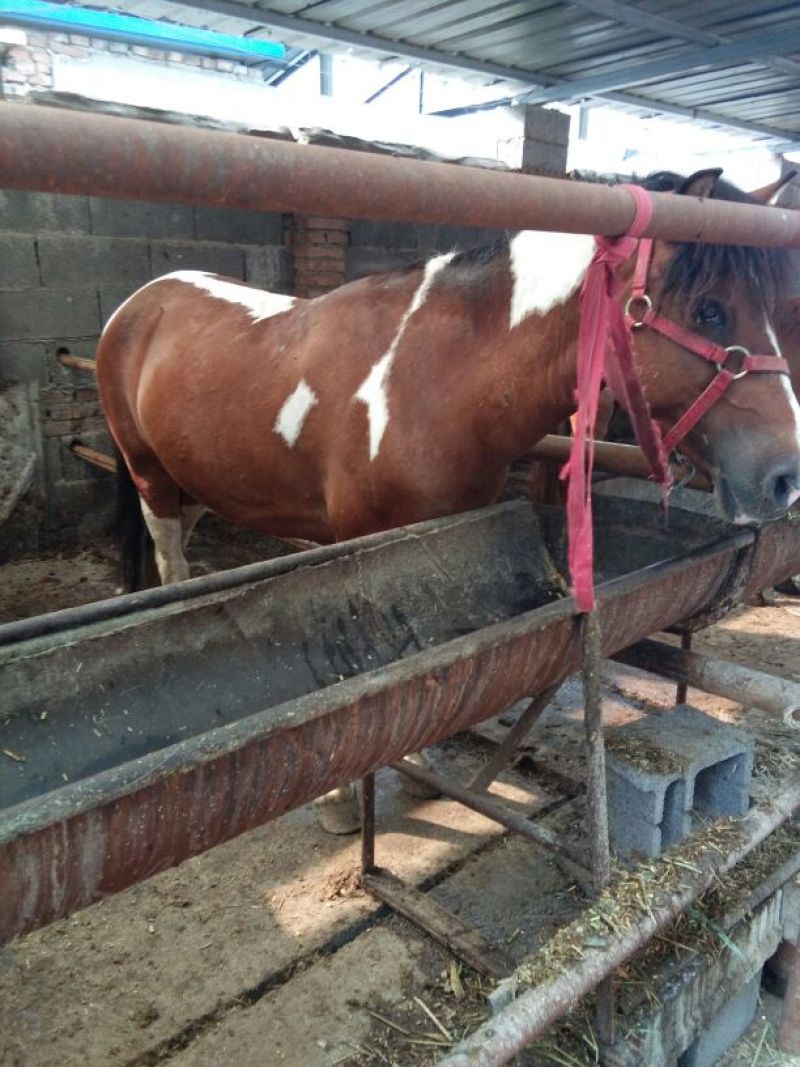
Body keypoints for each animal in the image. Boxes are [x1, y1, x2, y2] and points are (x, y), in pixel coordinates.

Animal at [96, 167, 800, 832]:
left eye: (774, 309)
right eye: (709, 309)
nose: (785, 476)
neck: (441, 377)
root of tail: (142, 300)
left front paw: (420, 763)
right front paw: (341, 799)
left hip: (195, 481)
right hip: (150, 476)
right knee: (170, 559)